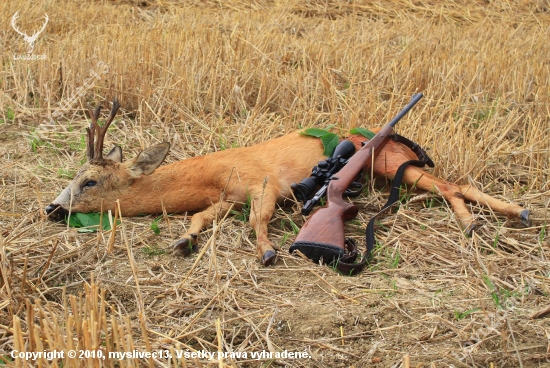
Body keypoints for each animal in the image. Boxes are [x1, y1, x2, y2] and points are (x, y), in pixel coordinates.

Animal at [45, 98, 532, 264]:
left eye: (90, 181)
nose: (52, 207)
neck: (213, 172)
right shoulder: (227, 198)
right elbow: (203, 218)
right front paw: (184, 241)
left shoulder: (263, 185)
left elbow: (256, 221)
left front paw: (268, 252)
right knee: (456, 183)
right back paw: (509, 215)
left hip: (391, 162)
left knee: (450, 185)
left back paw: (480, 222)